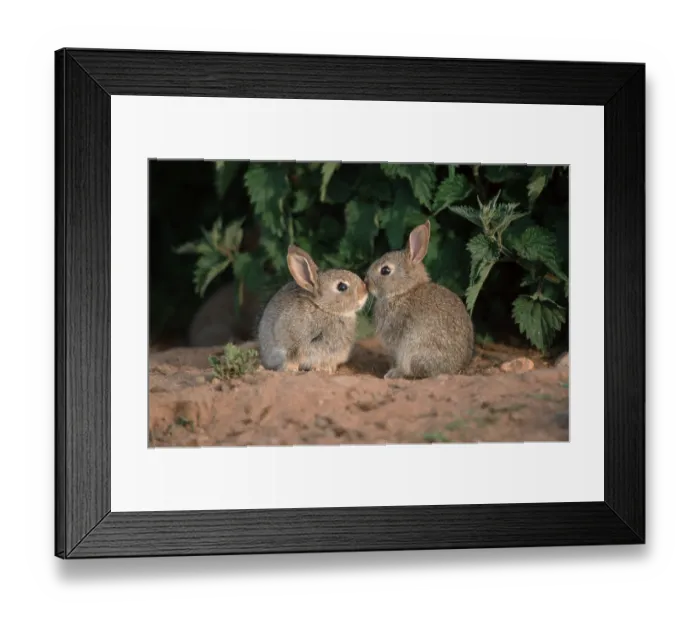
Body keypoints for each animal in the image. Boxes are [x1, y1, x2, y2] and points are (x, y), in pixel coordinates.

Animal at [257, 245, 369, 373]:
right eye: (342, 287)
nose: (365, 291)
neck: (324, 309)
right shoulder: (291, 342)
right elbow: (292, 358)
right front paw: (291, 369)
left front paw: (325, 369)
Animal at [365, 220, 475, 379]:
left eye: (385, 270)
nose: (366, 282)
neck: (403, 291)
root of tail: (455, 369)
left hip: (414, 348)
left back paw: (394, 374)